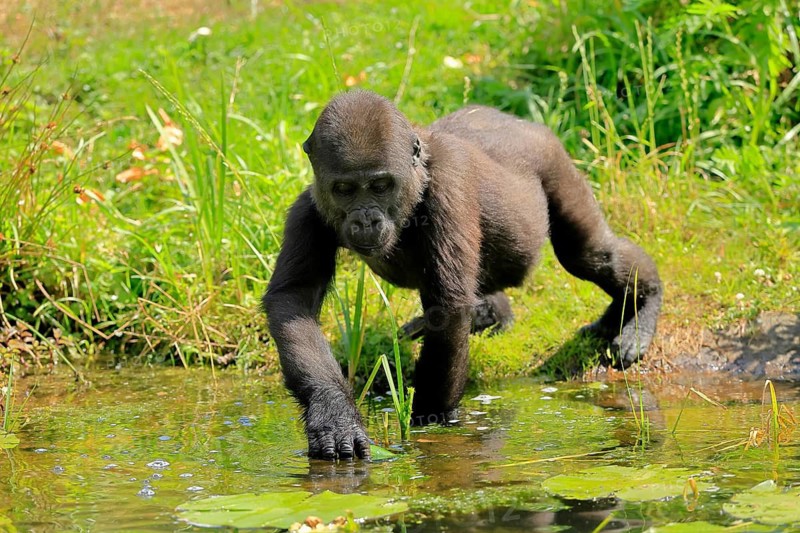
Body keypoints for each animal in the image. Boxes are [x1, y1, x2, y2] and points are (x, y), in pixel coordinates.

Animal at [263, 91, 662, 460]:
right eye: (344, 189)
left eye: (380, 185)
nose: (365, 220)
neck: (418, 174)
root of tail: (513, 119)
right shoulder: (308, 207)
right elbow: (293, 300)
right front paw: (333, 411)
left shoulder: (448, 190)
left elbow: (449, 307)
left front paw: (429, 421)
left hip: (551, 156)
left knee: (589, 253)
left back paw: (643, 307)